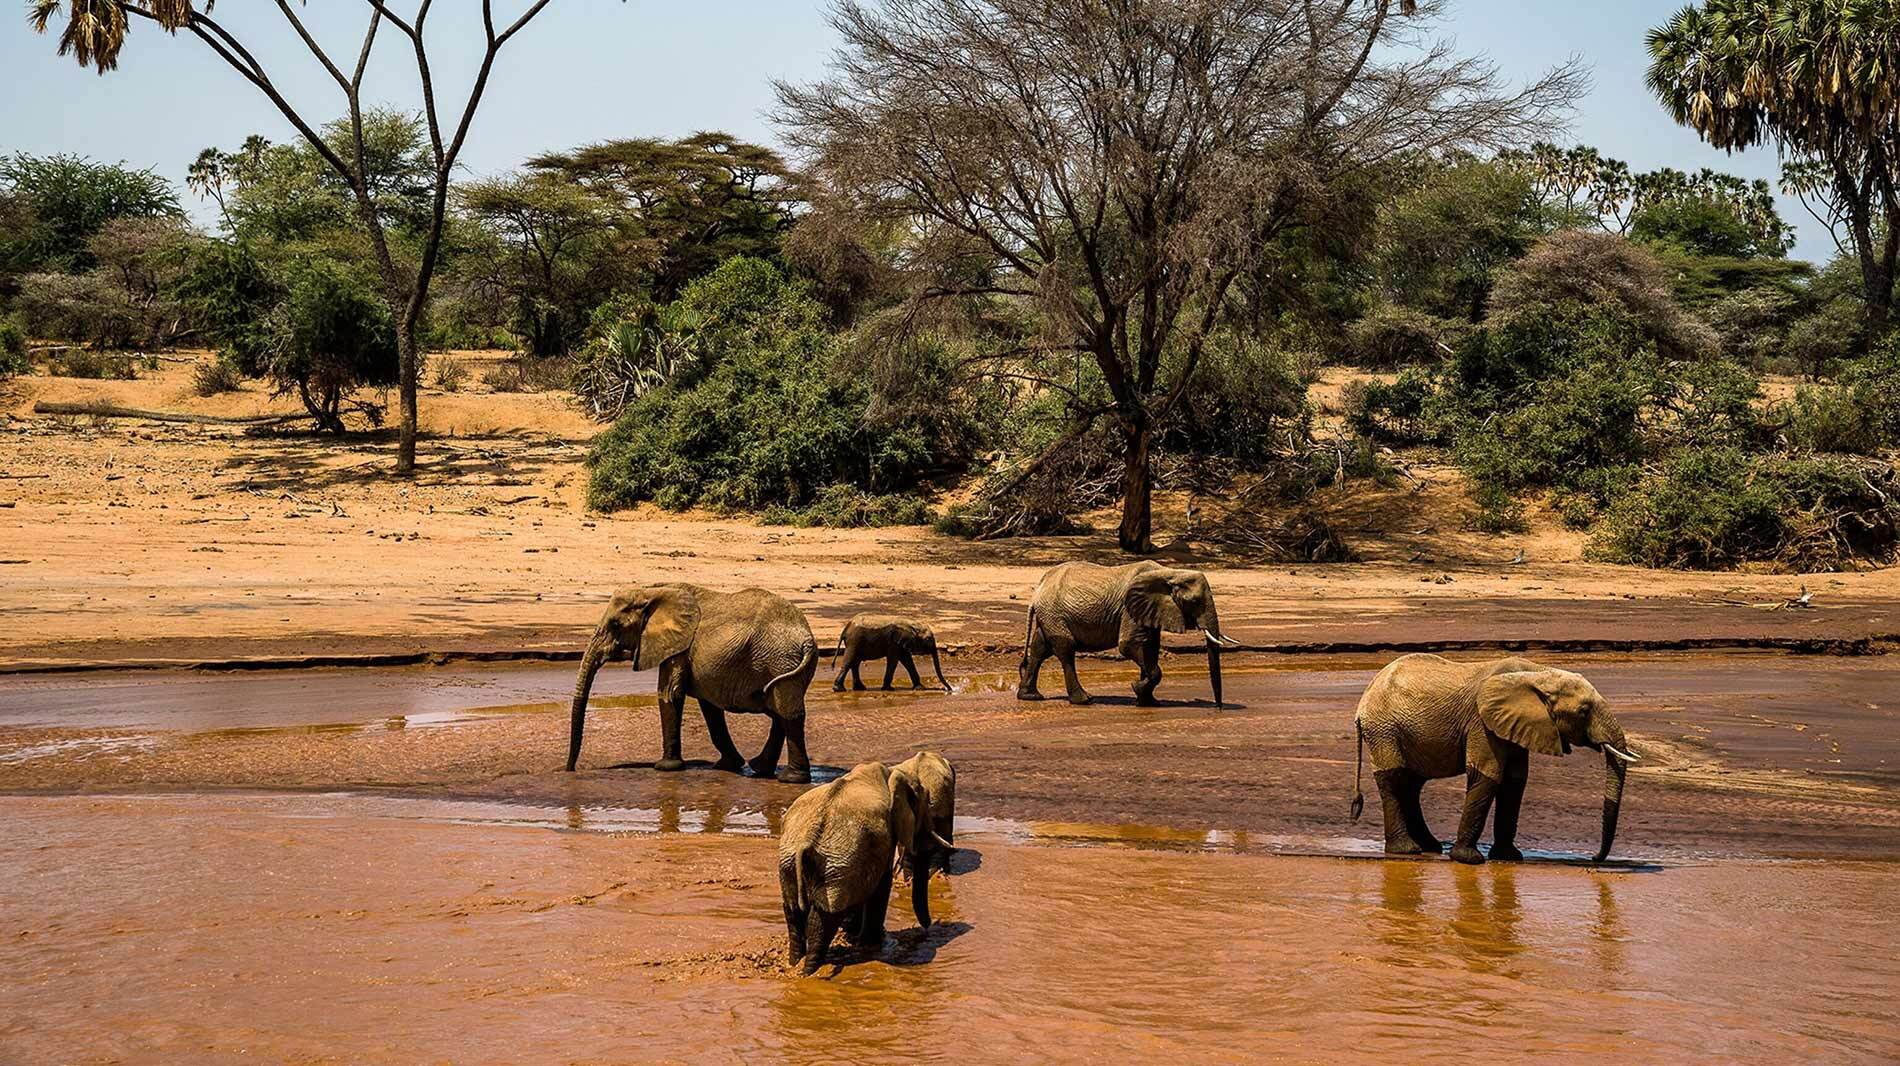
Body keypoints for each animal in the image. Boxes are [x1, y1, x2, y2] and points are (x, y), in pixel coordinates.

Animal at [562, 581, 817, 782]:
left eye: (615, 625)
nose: (569, 770)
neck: (652, 590)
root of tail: (806, 637)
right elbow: (710, 708)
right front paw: (726, 766)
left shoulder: (679, 648)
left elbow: (669, 694)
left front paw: (665, 768)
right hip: (784, 665)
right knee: (781, 710)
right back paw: (761, 769)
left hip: (779, 660)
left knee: (787, 712)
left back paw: (791, 779)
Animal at [771, 748, 950, 972]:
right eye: (923, 806)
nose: (927, 928)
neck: (890, 773)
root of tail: (806, 841)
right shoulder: (885, 835)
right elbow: (881, 884)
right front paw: (873, 944)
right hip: (833, 866)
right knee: (822, 919)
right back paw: (810, 972)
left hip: (793, 863)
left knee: (793, 912)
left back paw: (796, 966)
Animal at [1018, 558, 1238, 706]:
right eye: (1194, 601)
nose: (1218, 708)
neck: (1170, 572)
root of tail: (1038, 590)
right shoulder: (1129, 608)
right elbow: (1129, 646)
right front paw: (1136, 687)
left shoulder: (1150, 609)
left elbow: (1150, 647)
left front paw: (1148, 701)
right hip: (1054, 613)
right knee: (1065, 649)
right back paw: (1085, 700)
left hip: (1049, 614)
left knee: (1040, 648)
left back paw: (1030, 696)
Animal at [1345, 649, 1641, 866]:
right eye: (1584, 711)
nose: (1594, 858)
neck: (1538, 674)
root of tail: (1363, 702)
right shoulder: (1481, 723)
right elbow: (1487, 775)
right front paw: (1469, 860)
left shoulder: (1518, 724)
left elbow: (1515, 782)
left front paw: (1510, 857)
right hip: (1384, 730)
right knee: (1395, 779)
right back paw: (1407, 851)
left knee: (1412, 784)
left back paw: (1430, 846)